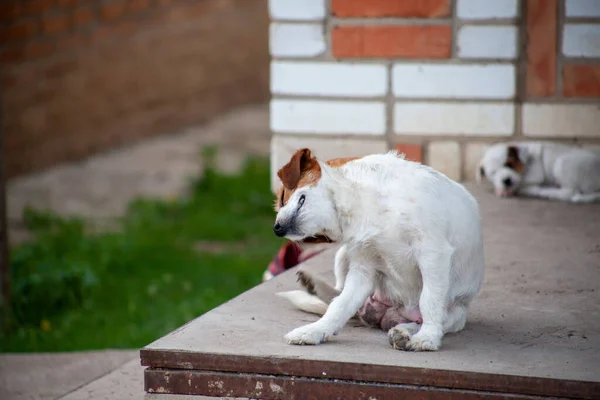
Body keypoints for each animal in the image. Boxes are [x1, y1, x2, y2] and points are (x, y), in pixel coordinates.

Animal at [270, 148, 486, 352]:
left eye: (282, 197)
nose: (276, 229)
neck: (362, 204)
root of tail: (388, 313)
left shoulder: (433, 254)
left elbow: (430, 300)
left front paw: (428, 338)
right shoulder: (363, 268)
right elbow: (340, 305)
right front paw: (315, 331)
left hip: (456, 313)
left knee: (432, 320)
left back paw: (405, 332)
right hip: (343, 256)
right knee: (338, 293)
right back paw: (313, 287)